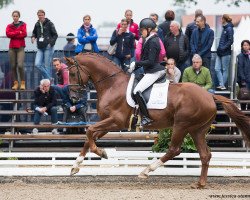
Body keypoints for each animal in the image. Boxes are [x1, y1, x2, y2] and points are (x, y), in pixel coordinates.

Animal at [66, 52, 250, 188]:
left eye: (73, 73)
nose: (73, 97)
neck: (112, 84)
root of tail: (210, 96)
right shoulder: (107, 123)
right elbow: (89, 137)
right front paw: (76, 166)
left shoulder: (116, 121)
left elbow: (90, 131)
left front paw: (101, 153)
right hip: (197, 129)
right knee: (205, 155)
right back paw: (200, 183)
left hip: (181, 125)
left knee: (174, 150)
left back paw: (146, 171)